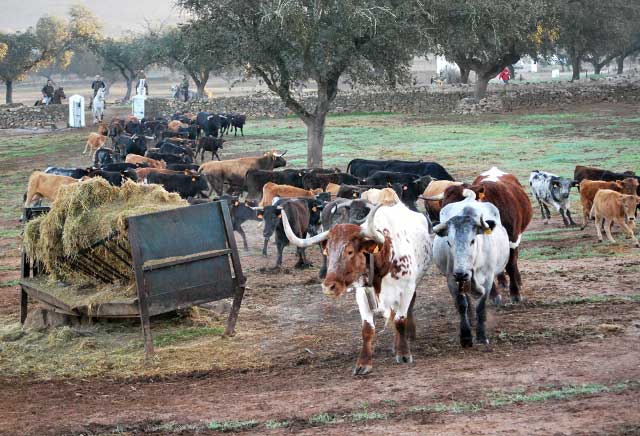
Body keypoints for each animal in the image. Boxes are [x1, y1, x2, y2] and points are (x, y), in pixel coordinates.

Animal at [282, 202, 432, 374]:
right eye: (328, 251)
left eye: (350, 251)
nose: (328, 287)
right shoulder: (362, 295)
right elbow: (367, 329)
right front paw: (363, 363)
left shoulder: (406, 290)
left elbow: (400, 320)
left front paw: (404, 353)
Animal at [432, 191, 508, 348]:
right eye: (449, 242)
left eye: (472, 240)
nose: (461, 273)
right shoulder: (452, 279)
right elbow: (462, 305)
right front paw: (466, 336)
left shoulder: (488, 279)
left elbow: (481, 307)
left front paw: (481, 336)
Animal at [442, 167, 532, 304]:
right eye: (443, 209)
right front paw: (493, 295)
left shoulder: (512, 239)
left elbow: (511, 265)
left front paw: (515, 293)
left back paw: (518, 281)